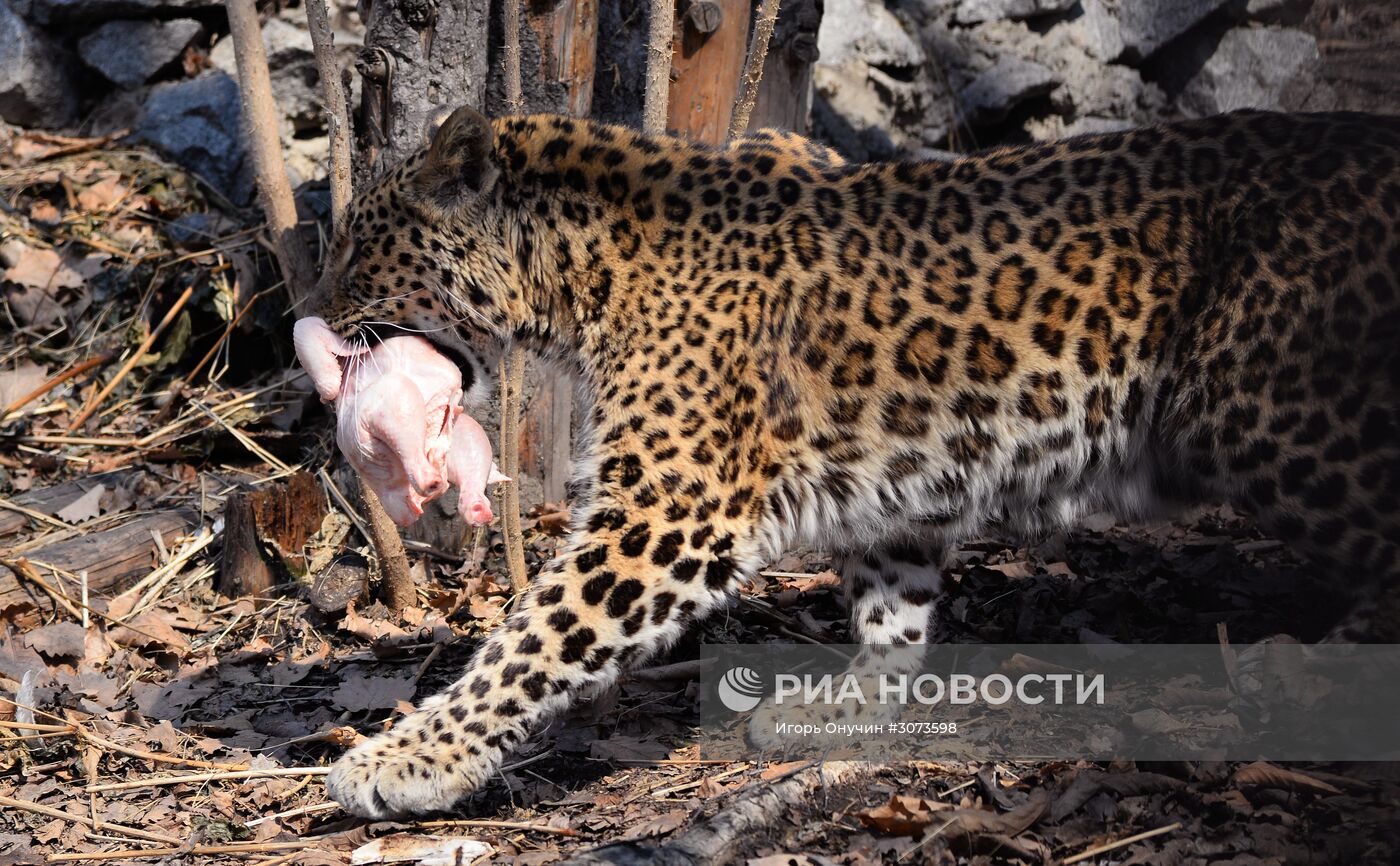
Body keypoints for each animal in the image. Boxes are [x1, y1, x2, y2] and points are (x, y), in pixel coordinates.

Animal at [312, 104, 1400, 817]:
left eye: (361, 245)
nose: (310, 318)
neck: (582, 271)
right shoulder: (896, 490)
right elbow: (891, 603)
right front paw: (857, 701)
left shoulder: (666, 509)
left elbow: (531, 638)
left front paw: (408, 758)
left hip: (1264, 397)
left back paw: (1309, 672)